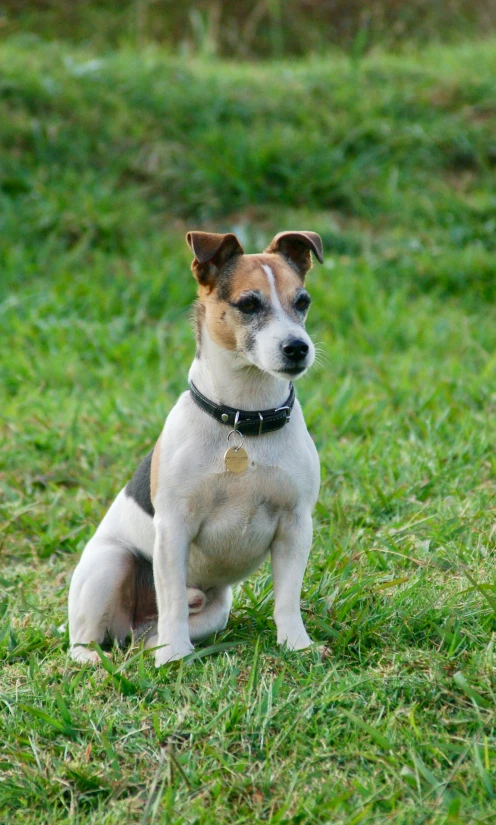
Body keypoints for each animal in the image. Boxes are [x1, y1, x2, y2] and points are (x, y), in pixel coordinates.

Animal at [70, 229, 324, 668]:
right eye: (248, 304)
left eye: (303, 302)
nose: (298, 347)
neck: (244, 419)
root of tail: (131, 629)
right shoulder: (174, 527)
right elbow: (171, 599)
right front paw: (174, 656)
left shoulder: (295, 524)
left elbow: (287, 599)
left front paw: (296, 645)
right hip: (110, 563)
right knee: (84, 639)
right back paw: (101, 661)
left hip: (216, 608)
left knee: (150, 636)